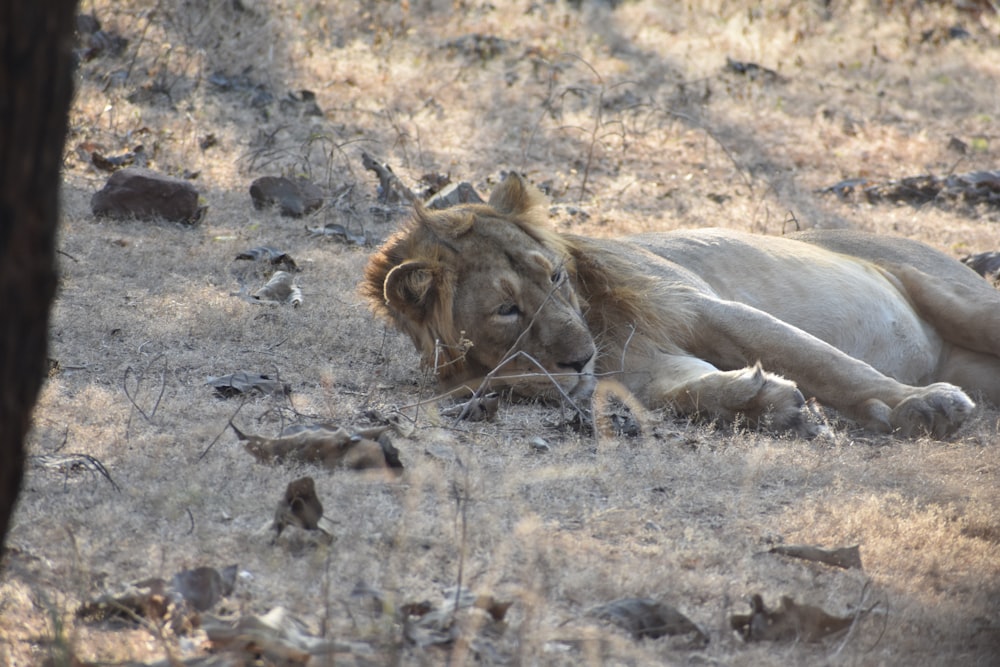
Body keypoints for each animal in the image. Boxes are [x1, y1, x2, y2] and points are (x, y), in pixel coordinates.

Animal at [364, 172, 1000, 438]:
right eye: (506, 310)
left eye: (555, 276)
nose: (581, 358)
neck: (602, 330)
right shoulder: (643, 375)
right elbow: (691, 392)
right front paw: (761, 402)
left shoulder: (703, 307)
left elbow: (828, 364)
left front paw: (921, 404)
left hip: (965, 303)